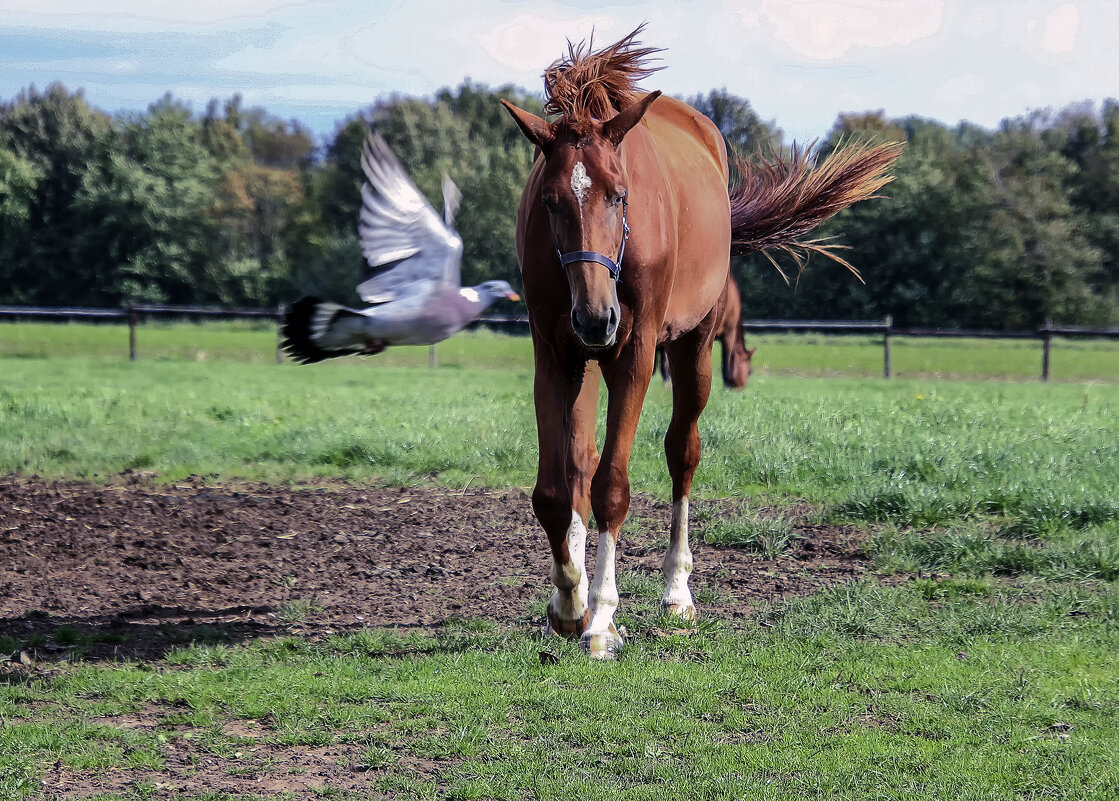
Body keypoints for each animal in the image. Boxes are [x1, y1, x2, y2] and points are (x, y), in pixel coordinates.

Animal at [499, 31, 899, 657]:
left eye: (619, 196)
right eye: (550, 201)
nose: (595, 316)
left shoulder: (635, 354)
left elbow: (614, 486)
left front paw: (601, 619)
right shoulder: (555, 352)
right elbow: (555, 491)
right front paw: (567, 601)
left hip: (691, 349)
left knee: (681, 453)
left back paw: (676, 591)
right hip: (588, 358)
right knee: (581, 464)